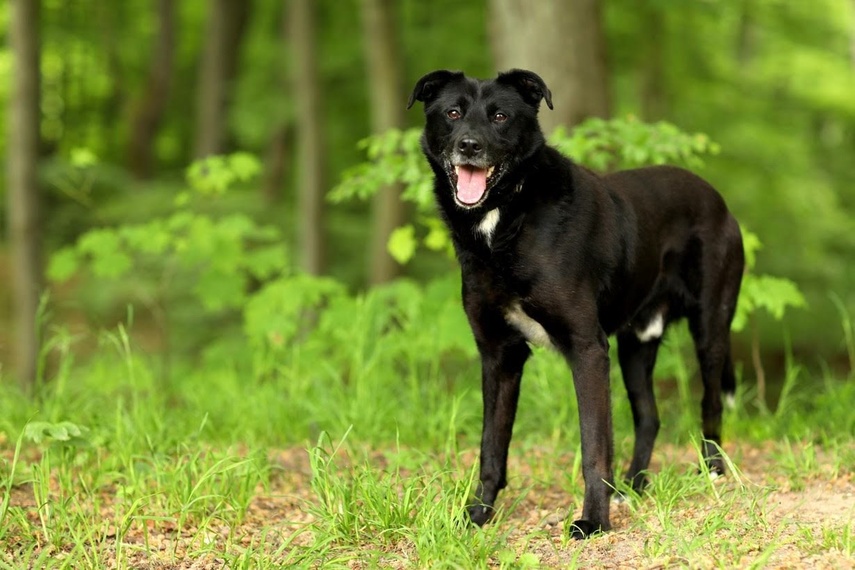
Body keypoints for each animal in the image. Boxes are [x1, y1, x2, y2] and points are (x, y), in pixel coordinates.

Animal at [406, 70, 744, 536]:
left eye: (500, 116)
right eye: (453, 113)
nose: (469, 146)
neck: (509, 216)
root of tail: (717, 197)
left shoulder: (587, 349)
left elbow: (594, 447)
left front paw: (594, 522)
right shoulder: (499, 356)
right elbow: (492, 447)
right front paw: (477, 515)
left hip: (710, 328)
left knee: (709, 403)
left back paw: (711, 472)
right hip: (635, 345)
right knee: (649, 416)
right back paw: (633, 486)